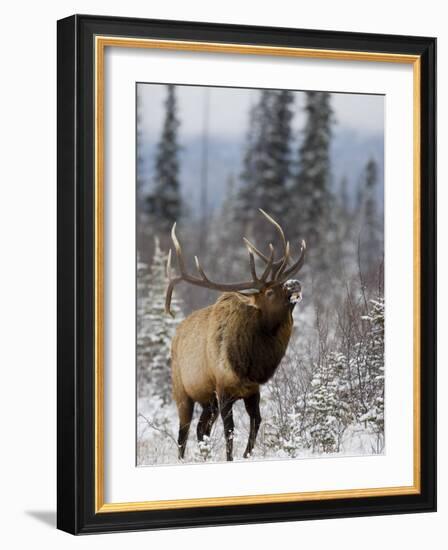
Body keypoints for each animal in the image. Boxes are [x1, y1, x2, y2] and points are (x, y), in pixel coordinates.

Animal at [166, 210, 306, 462]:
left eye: (283, 283)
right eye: (269, 292)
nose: (294, 283)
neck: (250, 363)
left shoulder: (252, 390)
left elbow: (256, 422)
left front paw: (246, 454)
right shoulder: (223, 390)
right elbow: (229, 431)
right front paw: (231, 458)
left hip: (207, 401)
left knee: (201, 429)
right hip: (182, 392)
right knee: (184, 432)